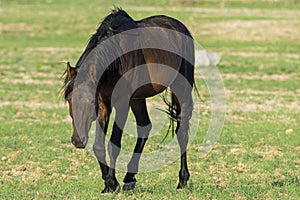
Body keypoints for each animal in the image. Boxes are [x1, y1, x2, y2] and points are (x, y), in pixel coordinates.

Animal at [63, 8, 196, 193]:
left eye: (90, 102)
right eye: (69, 100)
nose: (78, 141)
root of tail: (182, 27)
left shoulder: (122, 103)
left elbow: (114, 144)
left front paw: (113, 182)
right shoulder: (104, 104)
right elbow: (99, 146)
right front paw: (108, 183)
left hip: (181, 88)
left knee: (182, 132)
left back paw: (182, 180)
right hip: (138, 98)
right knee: (145, 127)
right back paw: (129, 178)